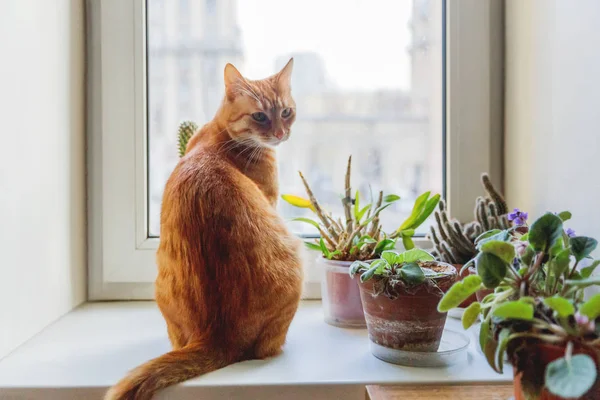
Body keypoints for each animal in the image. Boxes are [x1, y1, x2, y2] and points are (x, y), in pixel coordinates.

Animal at [105, 59, 302, 400]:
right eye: (260, 116)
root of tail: (219, 336)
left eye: (286, 111)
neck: (221, 135)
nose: (280, 133)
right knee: (266, 350)